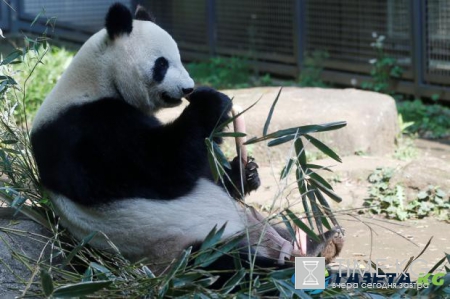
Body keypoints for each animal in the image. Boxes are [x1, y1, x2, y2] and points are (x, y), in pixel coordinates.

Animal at [31, 2, 342, 278]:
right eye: (162, 64)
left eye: (180, 58)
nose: (188, 88)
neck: (97, 79)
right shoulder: (85, 130)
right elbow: (163, 165)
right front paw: (212, 101)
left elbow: (203, 169)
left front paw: (246, 172)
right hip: (186, 247)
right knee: (231, 268)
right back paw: (288, 265)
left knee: (283, 229)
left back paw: (320, 242)